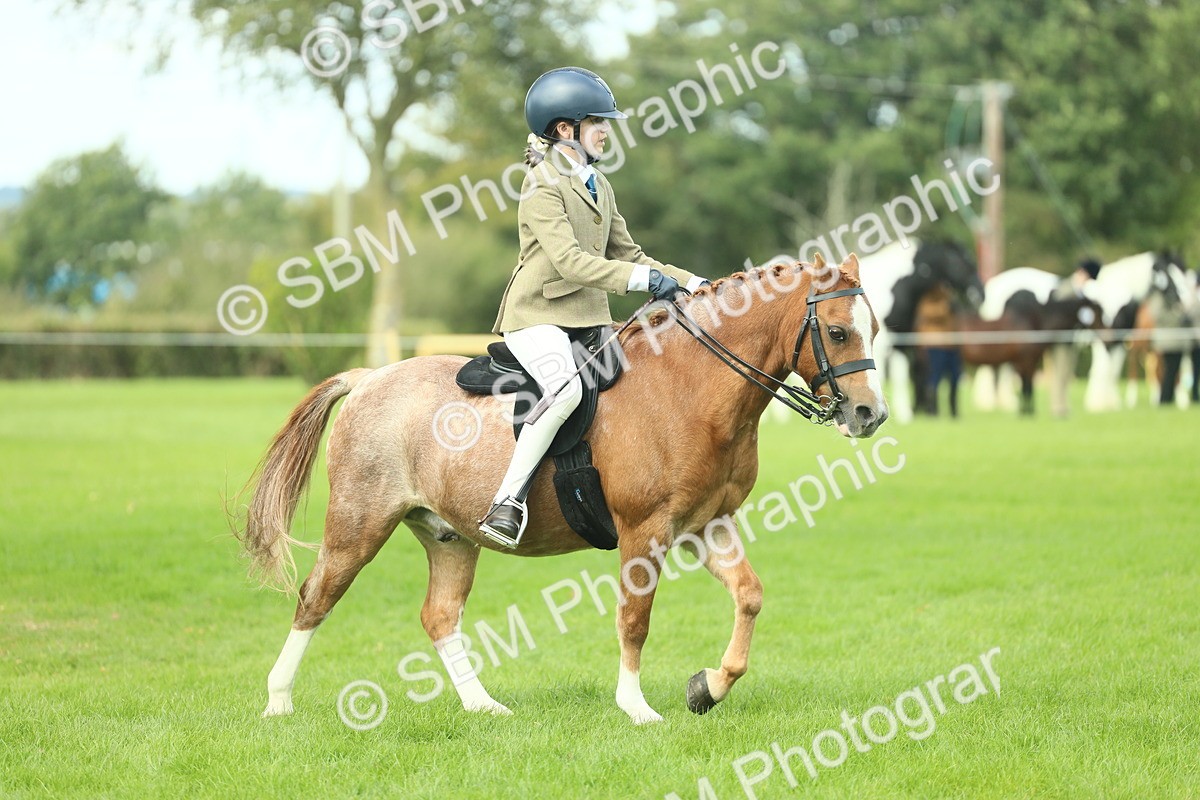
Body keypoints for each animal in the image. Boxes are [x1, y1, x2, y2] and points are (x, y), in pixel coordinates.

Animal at [236, 254, 888, 725]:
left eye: (876, 328)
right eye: (836, 331)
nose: (870, 415)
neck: (691, 387)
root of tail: (370, 378)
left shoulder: (706, 525)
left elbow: (749, 595)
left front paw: (708, 688)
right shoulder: (645, 532)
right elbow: (635, 619)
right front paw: (637, 708)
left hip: (450, 536)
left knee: (439, 616)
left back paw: (482, 706)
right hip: (358, 525)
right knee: (315, 598)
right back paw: (277, 701)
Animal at [959, 293, 1104, 415]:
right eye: (1099, 312)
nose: (1107, 335)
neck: (1035, 321)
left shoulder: (1023, 362)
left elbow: (1025, 387)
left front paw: (1024, 411)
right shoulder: (1027, 361)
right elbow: (1028, 387)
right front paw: (1028, 412)